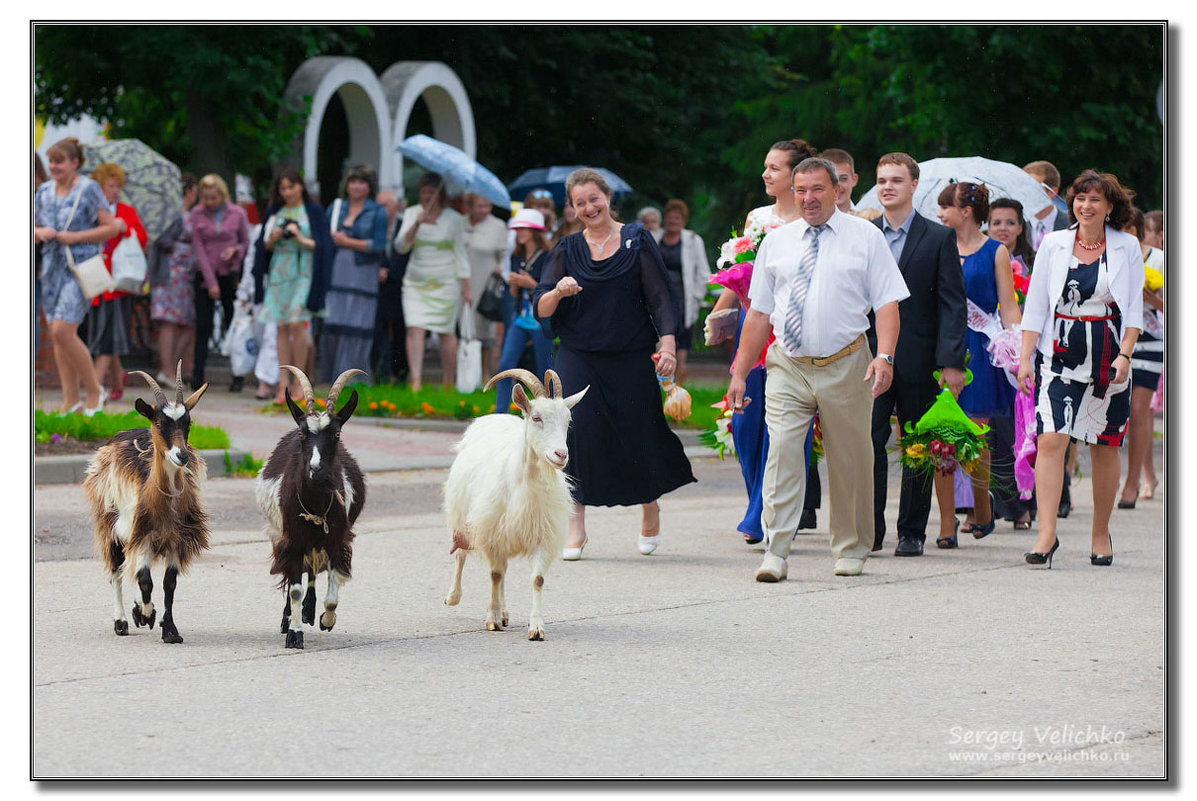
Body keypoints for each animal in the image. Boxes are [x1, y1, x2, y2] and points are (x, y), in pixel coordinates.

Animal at [83, 363, 210, 641]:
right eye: (160, 422)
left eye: (188, 422)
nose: (182, 455)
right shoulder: (139, 533)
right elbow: (144, 580)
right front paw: (144, 614)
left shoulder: (175, 537)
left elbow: (168, 584)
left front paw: (170, 630)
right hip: (110, 525)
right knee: (116, 572)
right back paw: (121, 622)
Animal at [260, 366, 368, 646]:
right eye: (302, 433)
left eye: (337, 433)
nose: (316, 469)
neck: (316, 506)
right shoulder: (292, 540)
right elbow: (295, 588)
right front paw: (294, 633)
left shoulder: (338, 540)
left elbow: (332, 593)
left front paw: (325, 620)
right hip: (283, 536)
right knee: (294, 578)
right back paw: (290, 618)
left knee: (313, 570)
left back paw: (309, 612)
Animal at [442, 366, 586, 636]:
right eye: (537, 418)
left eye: (568, 421)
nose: (561, 455)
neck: (525, 484)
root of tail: (495, 416)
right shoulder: (491, 531)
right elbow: (494, 575)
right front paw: (492, 618)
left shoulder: (542, 534)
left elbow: (536, 579)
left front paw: (536, 627)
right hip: (463, 516)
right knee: (462, 556)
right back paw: (454, 597)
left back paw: (506, 612)